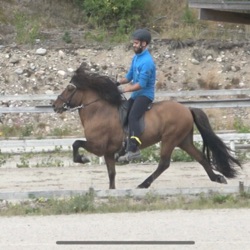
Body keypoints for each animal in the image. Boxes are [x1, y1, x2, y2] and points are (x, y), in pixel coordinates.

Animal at [52, 65, 240, 188]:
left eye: (70, 88)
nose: (55, 105)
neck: (98, 111)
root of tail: (187, 108)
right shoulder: (108, 152)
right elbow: (111, 174)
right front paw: (111, 191)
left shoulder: (98, 146)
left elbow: (76, 143)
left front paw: (82, 159)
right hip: (183, 140)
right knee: (200, 157)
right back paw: (217, 178)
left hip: (170, 139)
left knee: (164, 163)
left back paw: (144, 184)